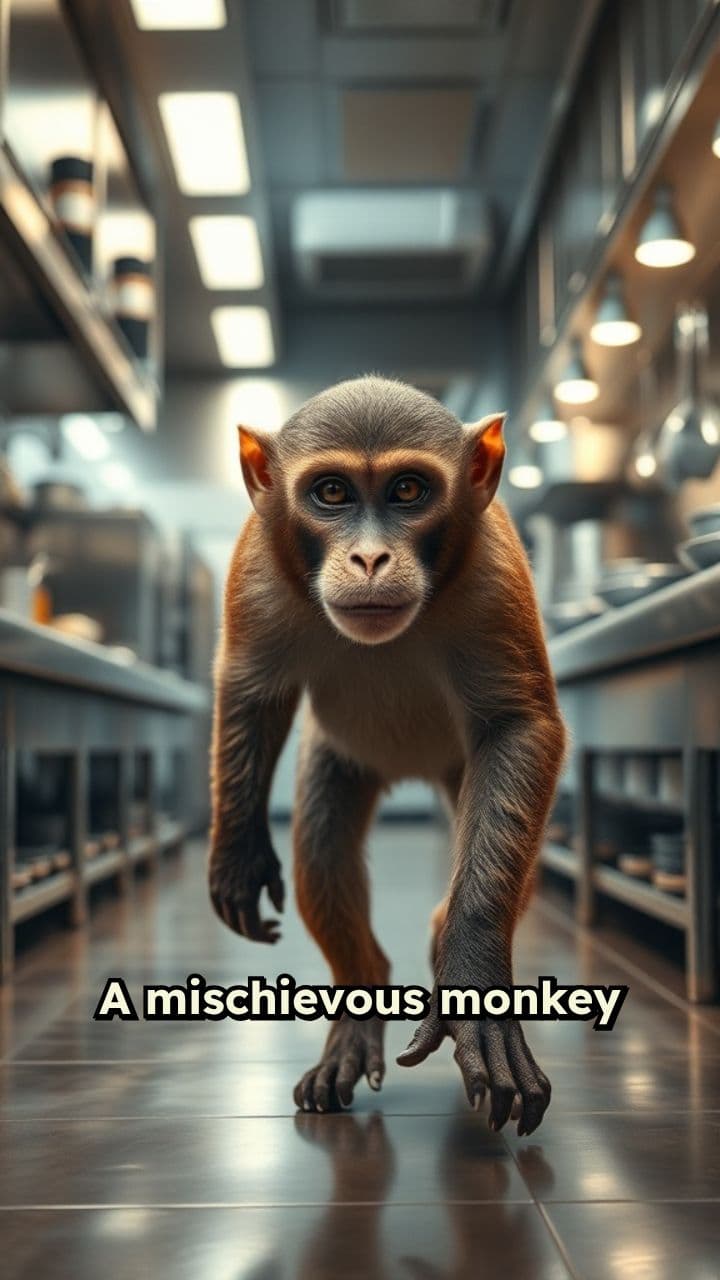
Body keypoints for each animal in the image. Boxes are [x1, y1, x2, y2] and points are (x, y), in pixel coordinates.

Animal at [209, 375, 566, 1136]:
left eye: (407, 490)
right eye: (332, 493)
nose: (369, 558)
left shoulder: (494, 575)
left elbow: (519, 726)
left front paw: (473, 980)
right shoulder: (255, 563)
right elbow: (251, 693)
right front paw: (237, 855)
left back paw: (440, 940)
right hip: (341, 760)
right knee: (321, 847)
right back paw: (357, 1003)